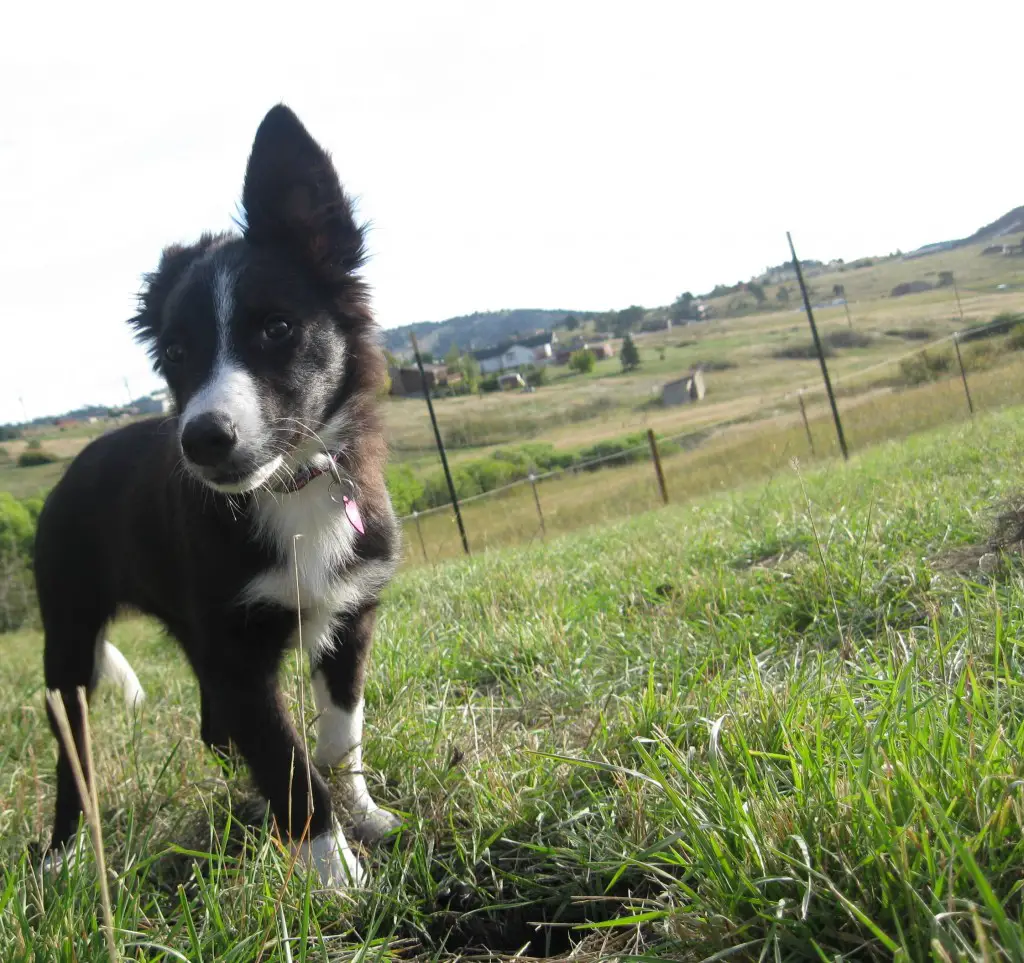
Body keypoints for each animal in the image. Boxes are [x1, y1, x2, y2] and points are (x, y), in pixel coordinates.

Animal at [33, 103, 399, 889]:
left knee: (212, 727)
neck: (291, 486)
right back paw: (62, 854)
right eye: (175, 354)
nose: (202, 439)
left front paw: (364, 816)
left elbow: (340, 734)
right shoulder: (234, 650)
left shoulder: (349, 613)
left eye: (278, 327)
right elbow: (291, 766)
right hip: (69, 637)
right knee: (73, 760)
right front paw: (339, 879)